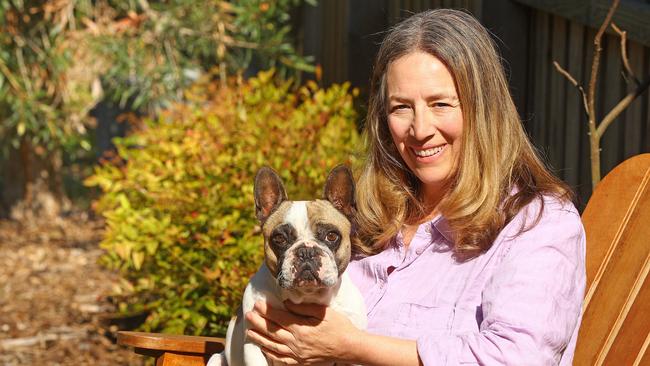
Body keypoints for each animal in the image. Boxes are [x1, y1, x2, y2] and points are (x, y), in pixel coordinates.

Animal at [210, 167, 368, 366]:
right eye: (279, 238)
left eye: (331, 236)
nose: (306, 251)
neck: (307, 296)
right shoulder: (254, 344)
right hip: (216, 359)